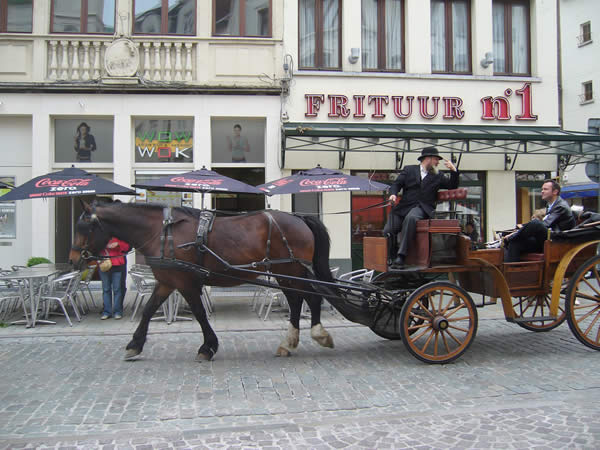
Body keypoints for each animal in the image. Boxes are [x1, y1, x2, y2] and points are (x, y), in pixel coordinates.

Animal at [70, 200, 338, 362]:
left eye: (83, 227)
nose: (74, 259)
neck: (162, 232)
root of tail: (300, 218)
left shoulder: (184, 283)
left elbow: (199, 313)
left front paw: (208, 347)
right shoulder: (167, 282)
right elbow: (148, 310)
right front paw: (135, 344)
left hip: (292, 271)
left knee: (311, 298)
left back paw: (318, 334)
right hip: (285, 274)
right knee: (296, 302)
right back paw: (289, 343)